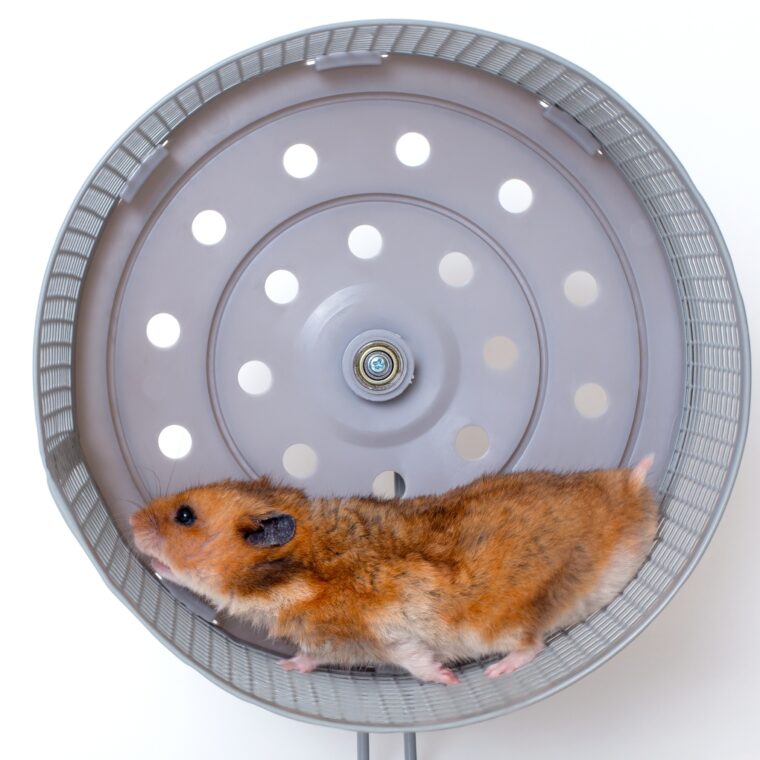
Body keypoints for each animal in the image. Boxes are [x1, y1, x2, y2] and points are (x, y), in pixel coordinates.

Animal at [129, 456, 657, 685]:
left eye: (184, 515)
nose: (131, 521)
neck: (299, 569)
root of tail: (637, 509)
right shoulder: (345, 642)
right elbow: (319, 657)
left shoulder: (377, 636)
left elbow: (411, 661)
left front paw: (448, 681)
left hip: (504, 623)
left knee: (531, 645)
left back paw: (493, 674)